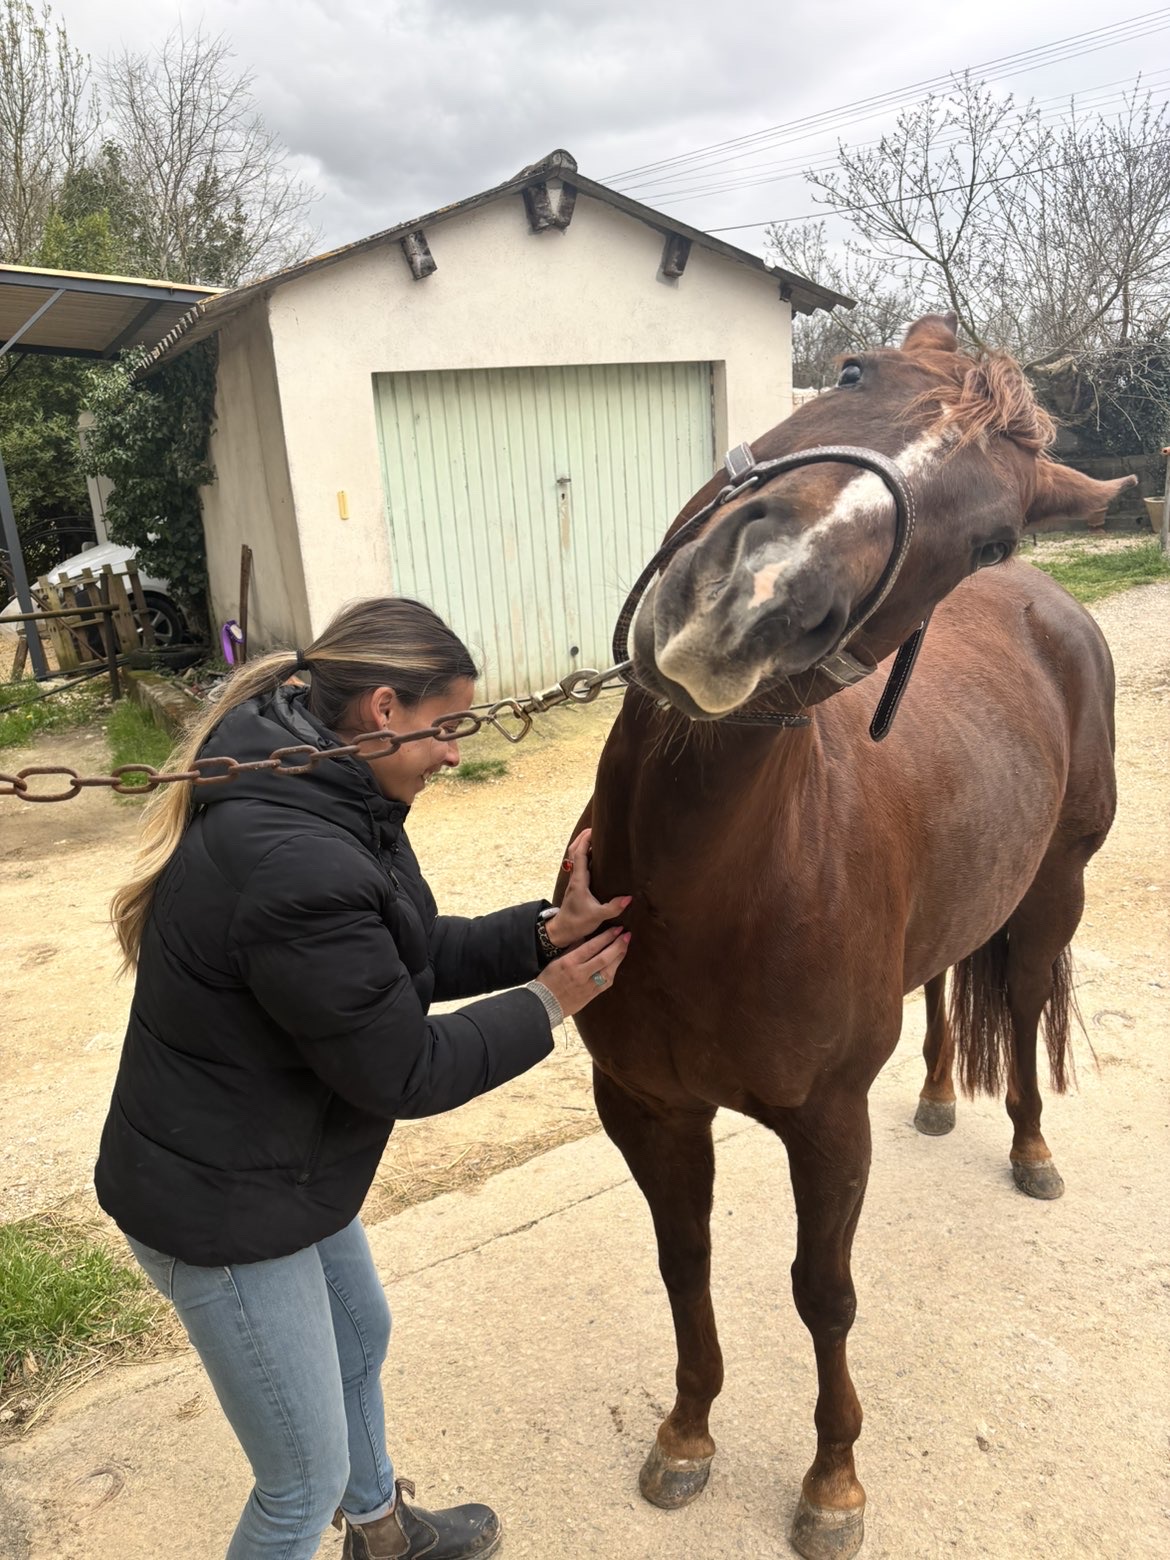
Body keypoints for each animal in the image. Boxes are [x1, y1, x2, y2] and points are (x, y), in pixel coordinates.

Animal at [562, 314, 1132, 1559]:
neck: (707, 888)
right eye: (852, 371)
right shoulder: (644, 1105)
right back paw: (937, 1094)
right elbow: (684, 1259)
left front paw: (833, 1484)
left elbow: (823, 1292)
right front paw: (687, 1432)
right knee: (946, 990)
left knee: (1022, 1009)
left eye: (991, 534)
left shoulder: (826, 1122)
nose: (756, 597)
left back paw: (1028, 1149)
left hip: (1052, 892)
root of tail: (1053, 607)